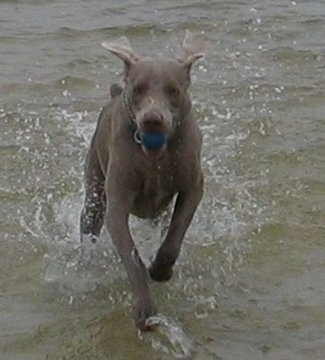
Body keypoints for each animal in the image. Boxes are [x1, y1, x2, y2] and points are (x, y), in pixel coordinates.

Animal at [80, 31, 206, 332]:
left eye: (173, 90)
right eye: (138, 89)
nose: (152, 120)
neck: (155, 155)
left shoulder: (193, 187)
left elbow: (173, 239)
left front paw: (160, 269)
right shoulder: (116, 206)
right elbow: (132, 258)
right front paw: (145, 309)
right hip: (94, 193)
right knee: (89, 225)